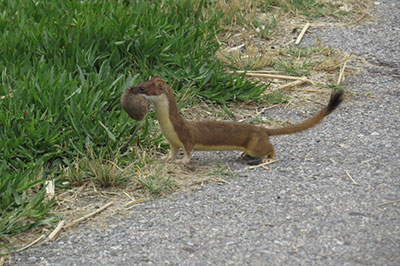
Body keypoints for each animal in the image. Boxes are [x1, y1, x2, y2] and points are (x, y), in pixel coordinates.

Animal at [128, 74, 344, 162]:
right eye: (141, 82)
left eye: (142, 88)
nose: (129, 88)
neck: (168, 127)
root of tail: (262, 128)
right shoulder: (173, 142)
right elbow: (172, 152)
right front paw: (165, 159)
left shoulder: (186, 137)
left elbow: (188, 152)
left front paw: (182, 162)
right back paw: (242, 155)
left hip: (256, 144)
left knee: (270, 148)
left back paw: (269, 158)